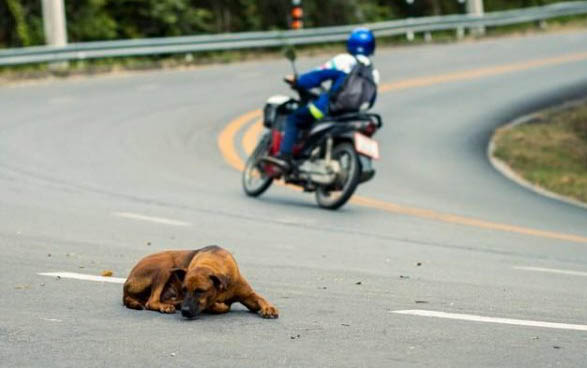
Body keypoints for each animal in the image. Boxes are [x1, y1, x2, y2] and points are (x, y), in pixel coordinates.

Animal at [121, 247, 278, 320]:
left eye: (200, 291)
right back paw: (167, 306)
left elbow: (260, 299)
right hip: (165, 264)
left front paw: (269, 308)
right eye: (184, 289)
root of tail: (126, 285)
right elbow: (222, 307)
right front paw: (217, 305)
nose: (185, 311)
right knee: (151, 301)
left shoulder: (248, 296)